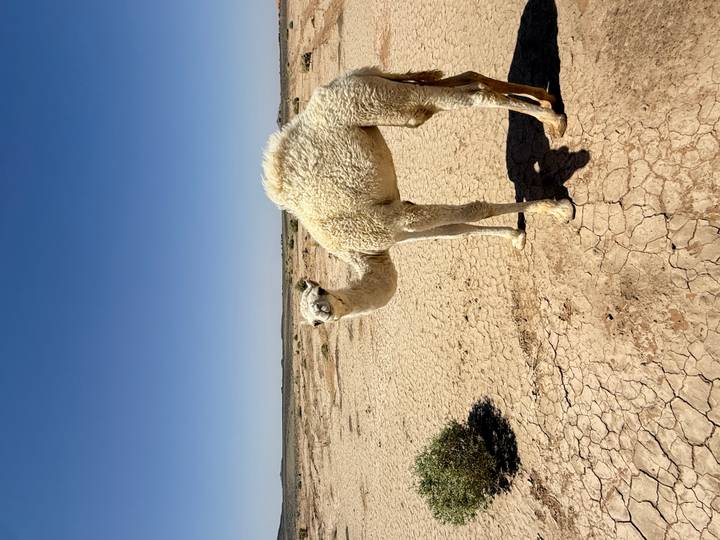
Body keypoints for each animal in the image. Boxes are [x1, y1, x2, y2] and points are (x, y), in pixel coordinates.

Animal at [262, 67, 573, 327]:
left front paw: (561, 209)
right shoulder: (401, 233)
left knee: (466, 96)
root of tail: (340, 81)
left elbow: (474, 211)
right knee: (463, 83)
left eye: (320, 292)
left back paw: (556, 120)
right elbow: (457, 230)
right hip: (387, 94)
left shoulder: (393, 220)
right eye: (315, 321)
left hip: (377, 101)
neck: (365, 254)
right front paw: (517, 237)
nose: (326, 312)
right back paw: (548, 100)